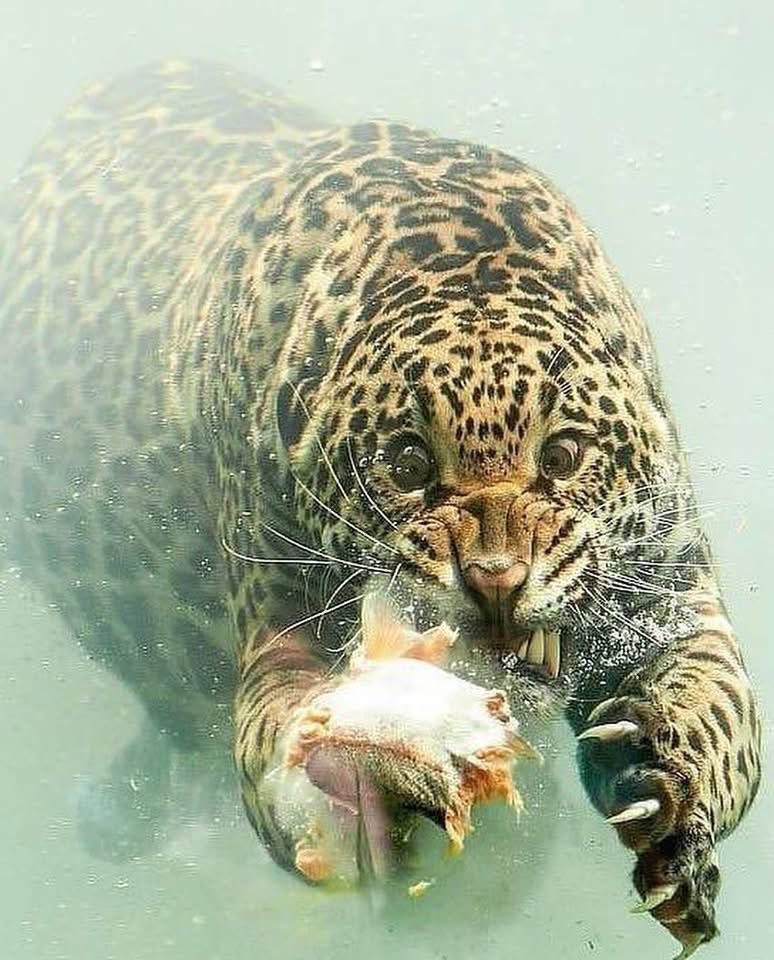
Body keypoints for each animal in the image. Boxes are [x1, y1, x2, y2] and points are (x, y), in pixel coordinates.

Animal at [0, 60, 761, 956]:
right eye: (407, 464)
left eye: (563, 456)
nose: (495, 581)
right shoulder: (278, 637)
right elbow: (282, 748)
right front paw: (367, 766)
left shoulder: (675, 598)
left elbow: (722, 713)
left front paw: (658, 784)